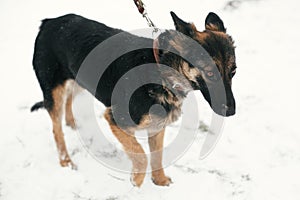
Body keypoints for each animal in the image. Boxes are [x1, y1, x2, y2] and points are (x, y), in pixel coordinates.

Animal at [31, 11, 237, 187]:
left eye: (233, 71)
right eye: (210, 73)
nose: (232, 111)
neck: (161, 70)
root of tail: (49, 22)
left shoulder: (157, 126)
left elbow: (157, 156)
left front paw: (160, 181)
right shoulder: (116, 119)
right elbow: (141, 154)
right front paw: (136, 181)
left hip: (79, 78)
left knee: (69, 98)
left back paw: (71, 122)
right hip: (54, 90)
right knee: (56, 129)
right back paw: (66, 160)